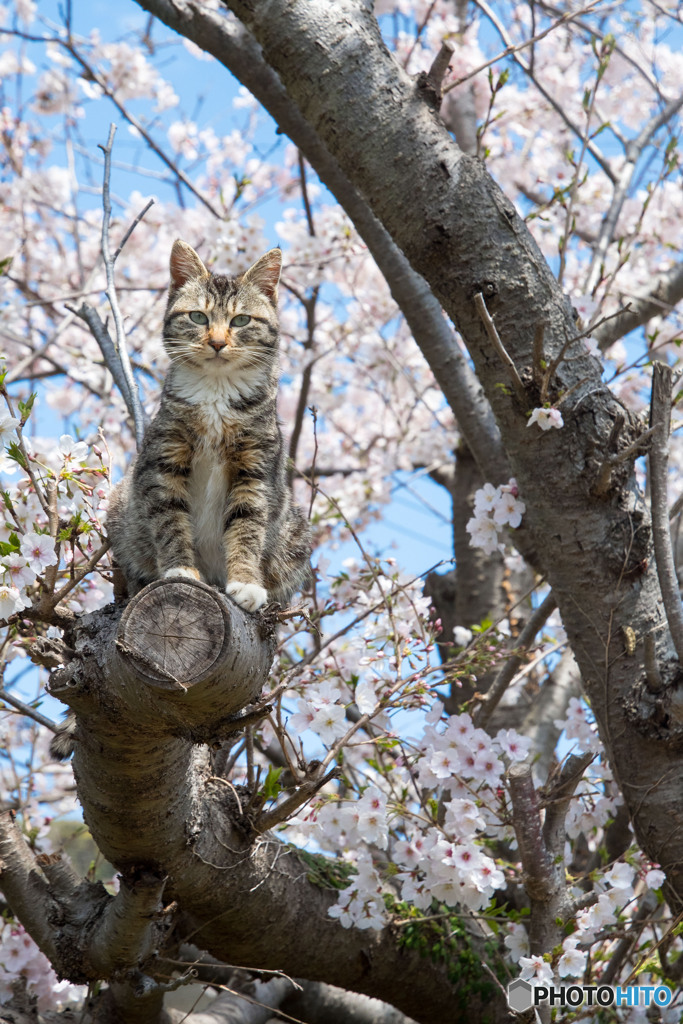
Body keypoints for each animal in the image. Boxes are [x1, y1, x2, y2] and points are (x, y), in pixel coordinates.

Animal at [107, 238, 313, 606]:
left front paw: (245, 582)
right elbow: (169, 518)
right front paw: (180, 570)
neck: (216, 391)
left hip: (297, 535)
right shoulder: (163, 458)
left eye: (241, 320)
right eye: (198, 317)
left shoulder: (256, 466)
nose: (217, 342)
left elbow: (248, 524)